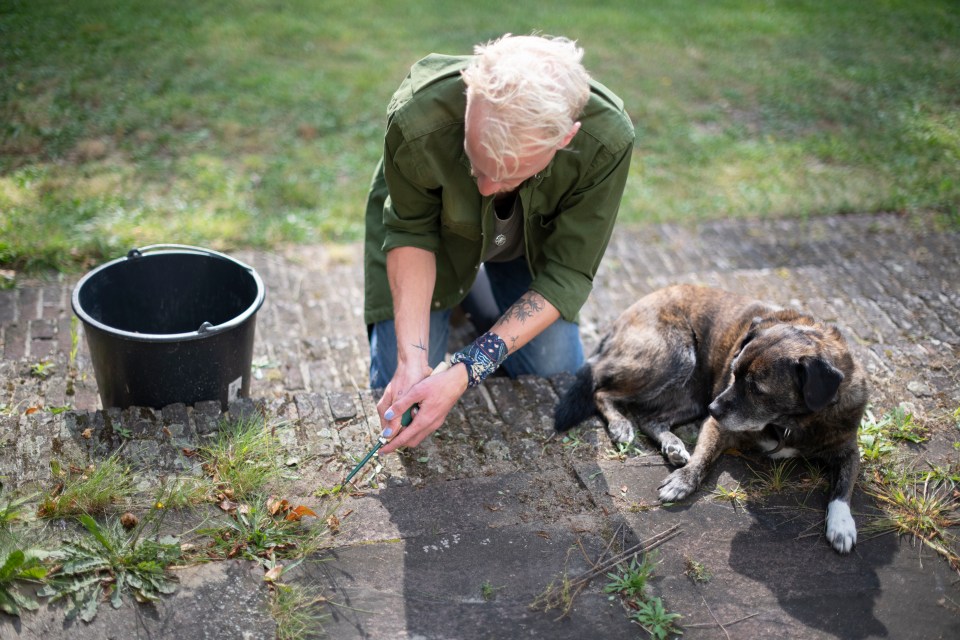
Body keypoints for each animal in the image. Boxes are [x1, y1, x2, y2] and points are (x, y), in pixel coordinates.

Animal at [552, 282, 868, 552]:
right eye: (734, 371)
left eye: (756, 389)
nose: (713, 408)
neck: (790, 422)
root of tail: (622, 317)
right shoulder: (718, 427)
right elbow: (703, 458)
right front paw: (683, 482)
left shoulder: (848, 450)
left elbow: (843, 490)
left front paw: (842, 525)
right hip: (674, 357)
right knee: (602, 390)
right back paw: (621, 426)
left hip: (692, 393)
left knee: (650, 418)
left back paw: (673, 446)